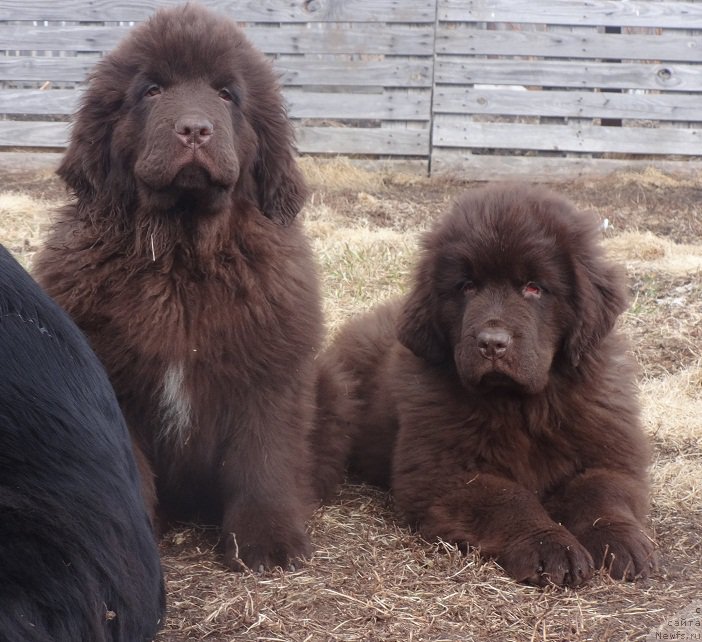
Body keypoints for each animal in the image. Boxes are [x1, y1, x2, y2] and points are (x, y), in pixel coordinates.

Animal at [34, 5, 324, 568]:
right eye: (151, 90)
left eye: (227, 94)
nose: (194, 129)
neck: (181, 260)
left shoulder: (269, 372)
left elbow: (264, 456)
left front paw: (268, 542)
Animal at [316, 184, 656, 584]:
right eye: (466, 286)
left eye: (533, 287)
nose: (492, 343)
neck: (526, 405)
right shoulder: (445, 472)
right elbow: (510, 499)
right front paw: (550, 545)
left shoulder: (611, 454)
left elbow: (600, 491)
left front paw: (622, 541)